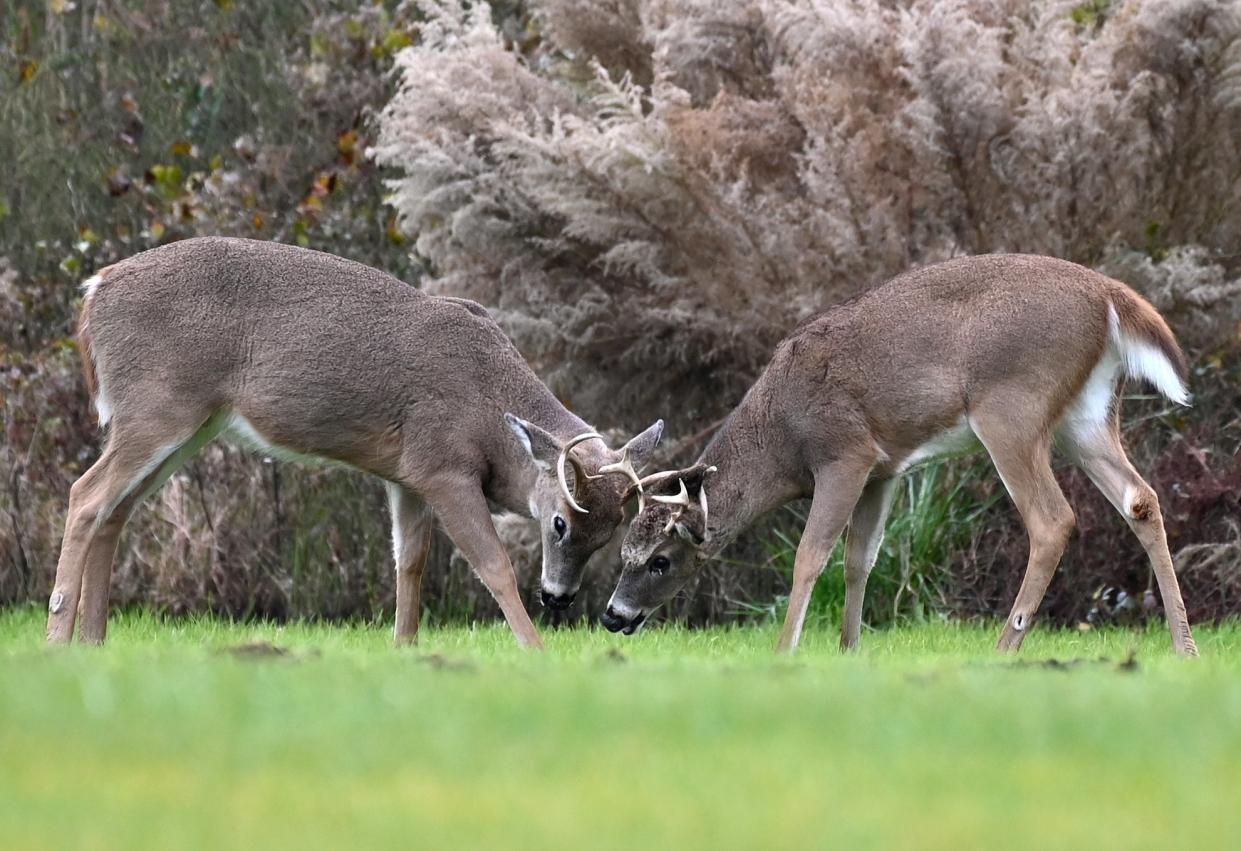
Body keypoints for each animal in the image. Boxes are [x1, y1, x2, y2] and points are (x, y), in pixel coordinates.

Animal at [52, 236, 665, 650]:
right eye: (559, 522)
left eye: (610, 533)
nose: (559, 596)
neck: (490, 410)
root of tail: (94, 290)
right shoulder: (444, 465)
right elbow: (492, 565)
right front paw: (534, 652)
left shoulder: (408, 476)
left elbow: (409, 564)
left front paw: (405, 649)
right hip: (157, 406)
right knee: (85, 495)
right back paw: (58, 638)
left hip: (187, 423)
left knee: (116, 509)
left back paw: (94, 641)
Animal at [600, 256, 1201, 654]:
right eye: (624, 552)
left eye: (659, 559)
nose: (612, 615)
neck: (780, 436)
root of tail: (1109, 297)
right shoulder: (884, 468)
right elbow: (860, 558)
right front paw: (849, 649)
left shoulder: (845, 452)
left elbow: (810, 555)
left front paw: (786, 650)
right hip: (1087, 416)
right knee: (1140, 498)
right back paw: (1183, 645)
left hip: (1011, 407)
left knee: (1053, 520)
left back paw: (1004, 648)